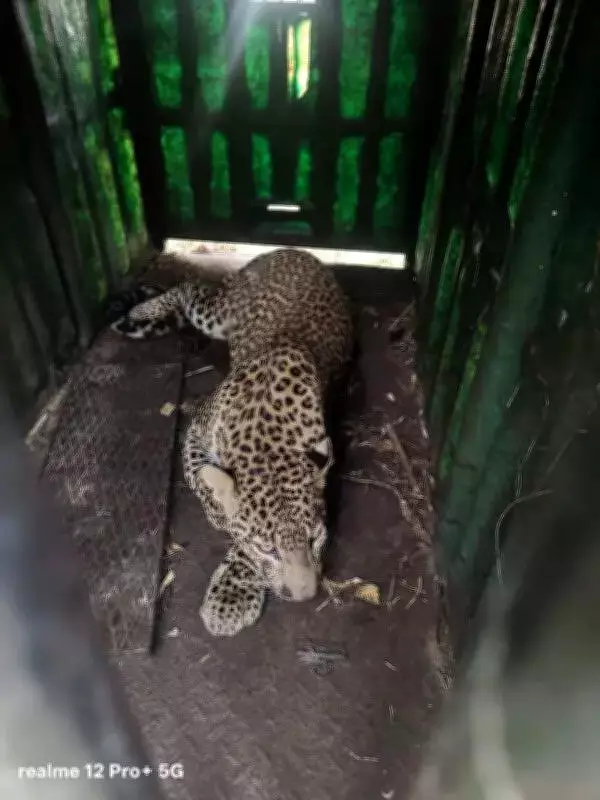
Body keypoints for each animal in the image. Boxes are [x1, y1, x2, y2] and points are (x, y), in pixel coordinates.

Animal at [112, 247, 353, 636]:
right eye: (267, 549)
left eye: (316, 538)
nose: (306, 596)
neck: (268, 437)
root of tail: (294, 251)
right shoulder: (195, 430)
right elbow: (206, 481)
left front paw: (232, 593)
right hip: (217, 311)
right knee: (187, 288)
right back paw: (142, 311)